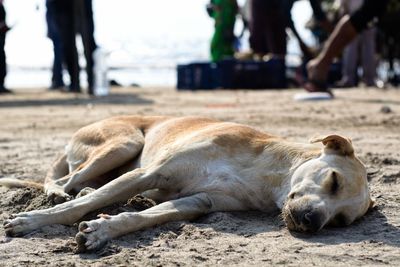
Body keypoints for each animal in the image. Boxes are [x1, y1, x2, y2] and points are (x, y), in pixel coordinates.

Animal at [0, 116, 372, 252]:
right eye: (334, 181)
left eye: (340, 221)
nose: (312, 222)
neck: (267, 174)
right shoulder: (149, 174)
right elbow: (78, 207)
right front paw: (33, 221)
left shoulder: (198, 202)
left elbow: (142, 217)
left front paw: (103, 230)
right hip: (124, 143)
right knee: (67, 182)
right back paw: (55, 194)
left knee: (86, 185)